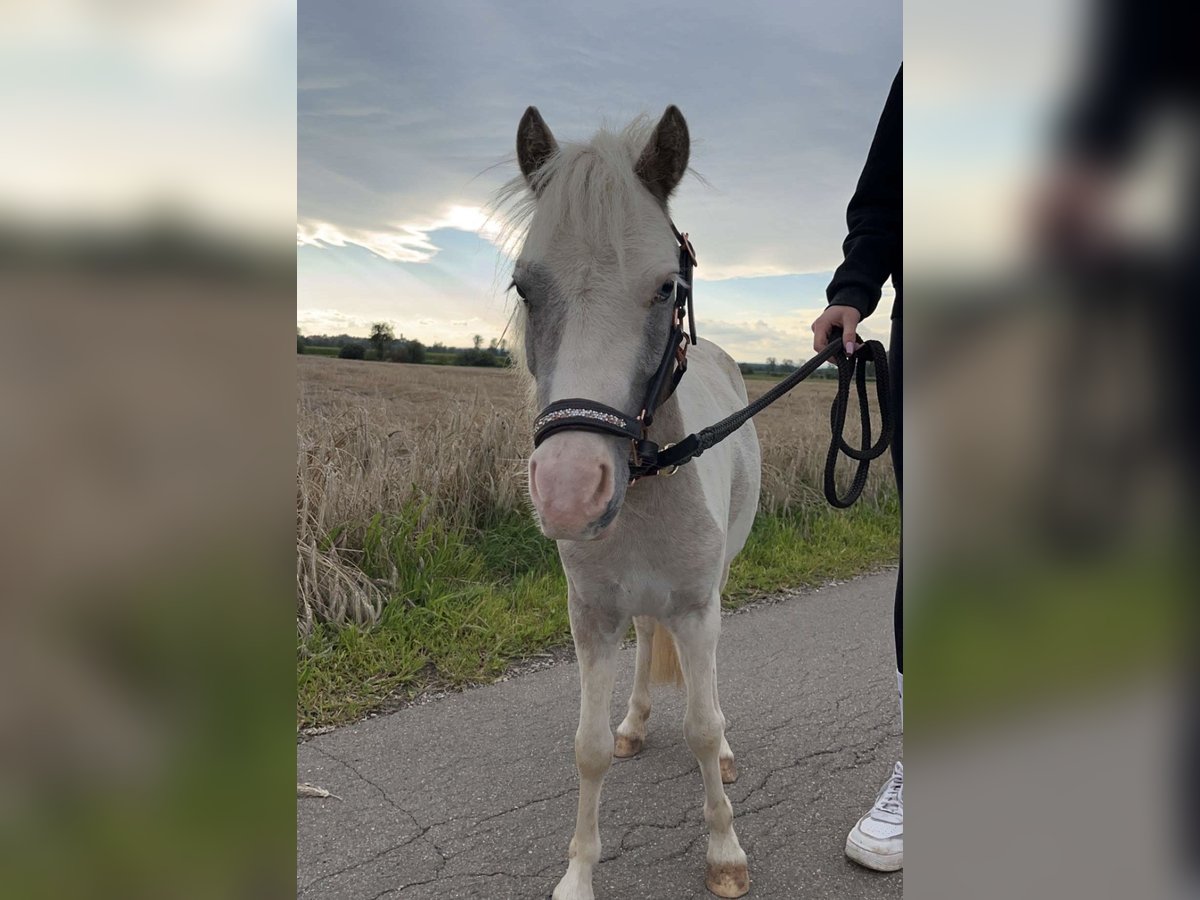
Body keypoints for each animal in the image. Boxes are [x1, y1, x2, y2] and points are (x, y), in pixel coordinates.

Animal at [504, 107, 758, 900]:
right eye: (524, 287)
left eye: (666, 288)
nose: (567, 490)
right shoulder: (591, 616)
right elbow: (586, 747)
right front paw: (578, 874)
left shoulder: (698, 607)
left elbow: (702, 726)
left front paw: (724, 853)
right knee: (648, 641)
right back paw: (637, 722)